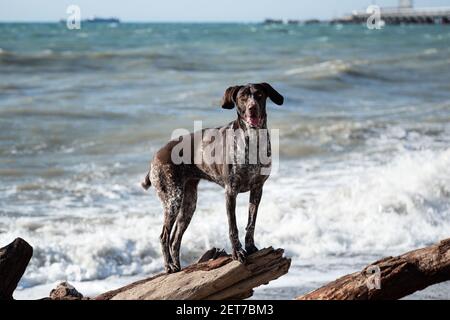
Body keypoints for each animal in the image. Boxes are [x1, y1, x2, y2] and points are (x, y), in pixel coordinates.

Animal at [143, 82, 284, 272]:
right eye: (243, 97)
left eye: (259, 95)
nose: (252, 108)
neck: (253, 140)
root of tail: (156, 156)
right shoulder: (230, 192)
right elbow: (233, 227)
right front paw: (237, 253)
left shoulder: (257, 189)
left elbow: (251, 224)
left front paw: (250, 247)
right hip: (173, 200)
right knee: (164, 236)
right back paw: (169, 266)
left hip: (188, 204)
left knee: (175, 240)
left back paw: (177, 266)